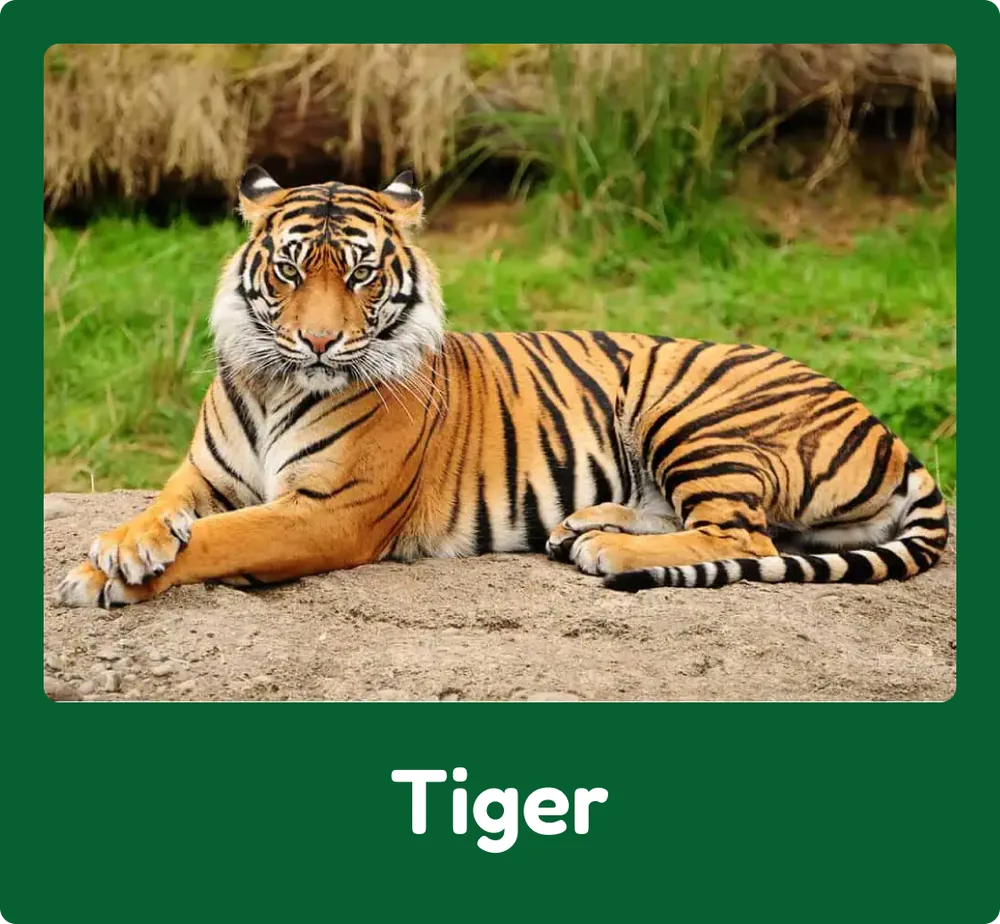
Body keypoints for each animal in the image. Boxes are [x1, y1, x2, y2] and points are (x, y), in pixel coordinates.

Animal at [56, 166, 949, 609]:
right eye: (289, 270)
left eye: (361, 274)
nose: (318, 340)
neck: (278, 383)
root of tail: (884, 426)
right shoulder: (203, 474)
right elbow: (166, 512)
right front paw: (121, 548)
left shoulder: (330, 511)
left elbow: (222, 539)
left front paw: (106, 577)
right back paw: (583, 525)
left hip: (693, 411)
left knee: (746, 537)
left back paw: (608, 547)